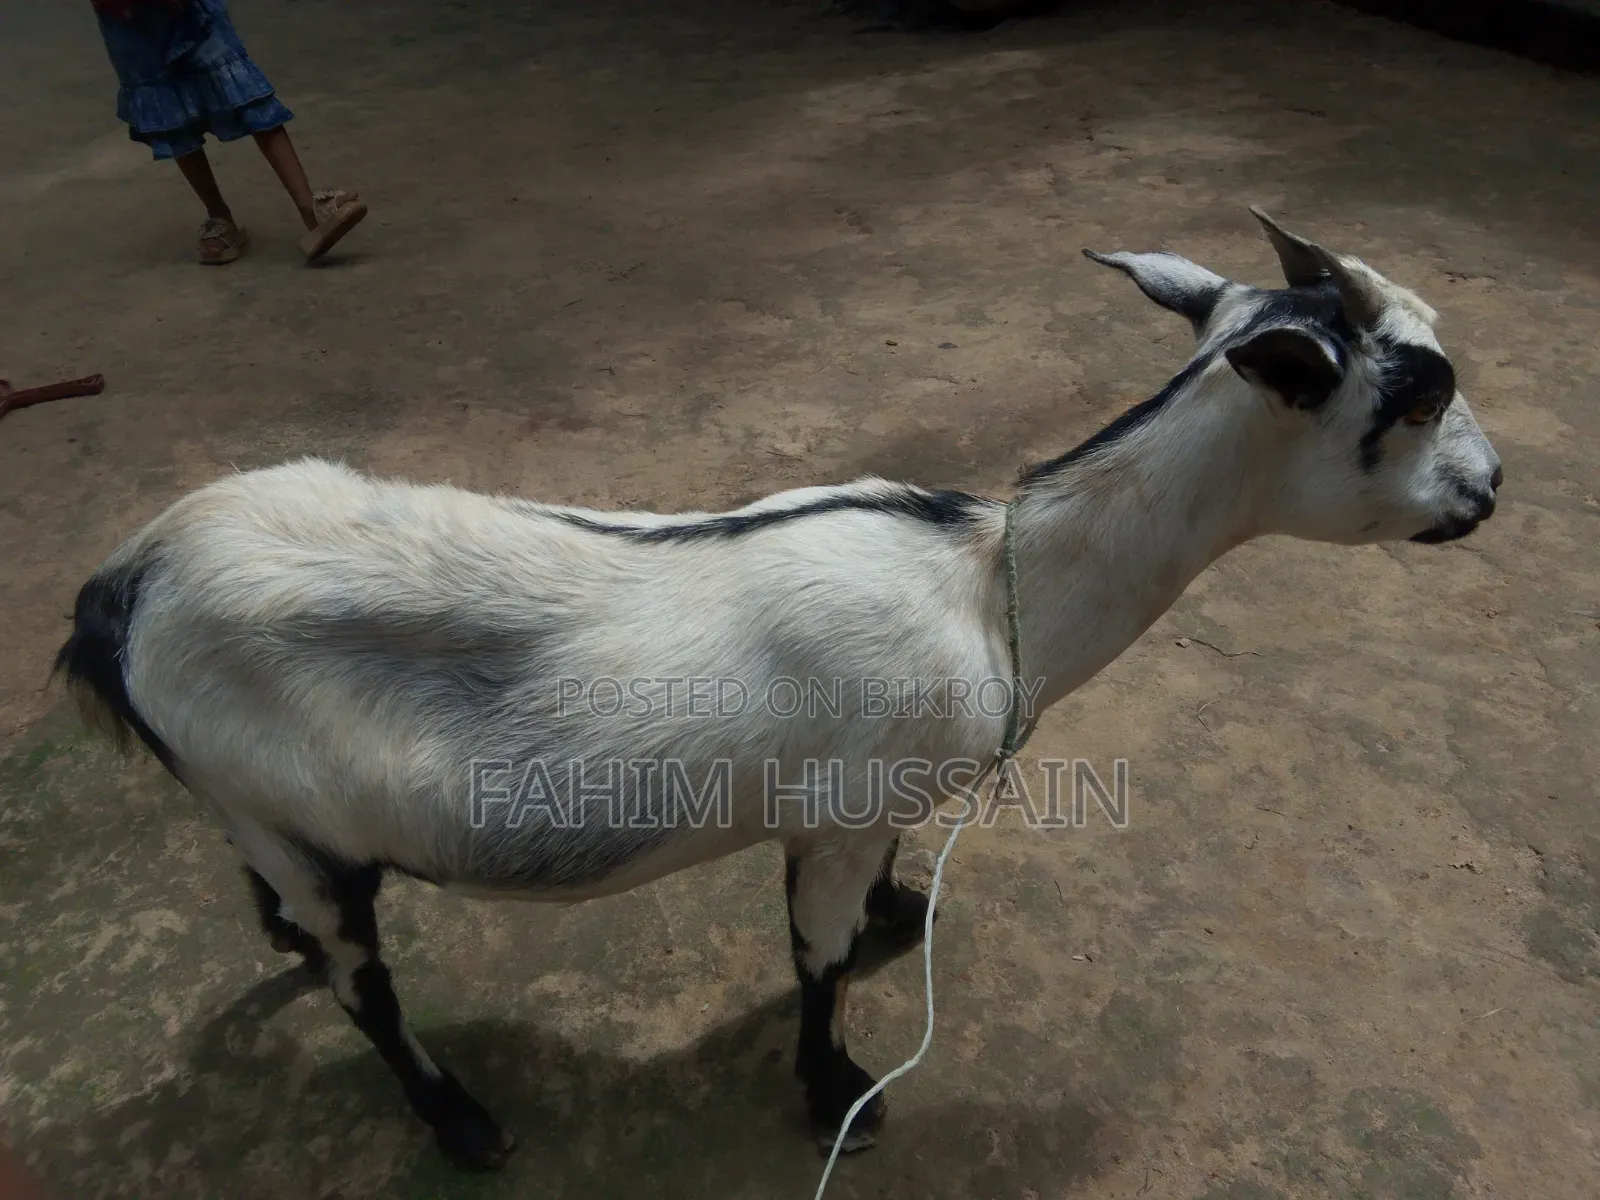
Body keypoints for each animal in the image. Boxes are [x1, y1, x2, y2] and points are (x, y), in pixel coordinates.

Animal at [55, 209, 1502, 1170]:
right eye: (1418, 396)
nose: (1492, 492)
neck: (988, 586)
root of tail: (127, 584)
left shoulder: (866, 809)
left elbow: (867, 906)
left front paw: (901, 917)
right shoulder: (841, 807)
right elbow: (816, 958)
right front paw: (835, 1091)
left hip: (258, 810)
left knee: (289, 909)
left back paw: (289, 949)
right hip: (277, 811)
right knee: (366, 985)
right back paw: (457, 1119)